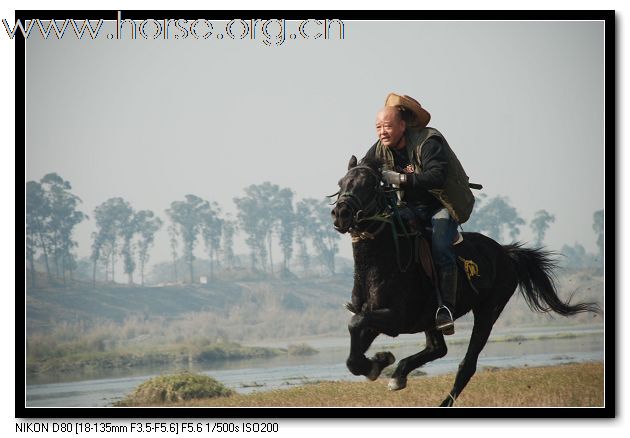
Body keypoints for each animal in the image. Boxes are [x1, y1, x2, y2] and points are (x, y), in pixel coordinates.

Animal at [330, 156, 604, 406]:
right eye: (341, 183)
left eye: (369, 184)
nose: (340, 213)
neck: (382, 261)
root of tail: (505, 253)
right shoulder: (378, 317)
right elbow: (353, 347)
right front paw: (379, 362)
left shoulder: (397, 319)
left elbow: (356, 323)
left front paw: (379, 362)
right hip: (434, 319)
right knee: (438, 349)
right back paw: (400, 374)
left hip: (487, 312)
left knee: (467, 364)